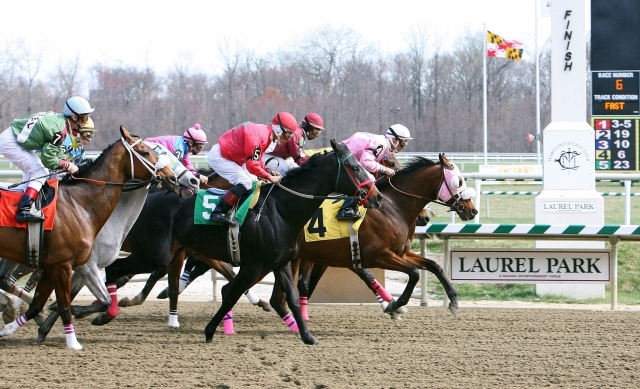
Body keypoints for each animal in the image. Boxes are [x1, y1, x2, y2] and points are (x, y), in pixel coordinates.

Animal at [0, 126, 176, 348]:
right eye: (145, 152)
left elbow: (40, 305)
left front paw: (10, 328)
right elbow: (69, 305)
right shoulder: (69, 266)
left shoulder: (55, 265)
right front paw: (73, 341)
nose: (172, 177)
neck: (80, 204)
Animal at [92, 139, 382, 342]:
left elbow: (287, 297)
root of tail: (149, 197)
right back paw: (104, 312)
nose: (377, 196)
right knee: (116, 268)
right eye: (355, 167)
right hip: (155, 254)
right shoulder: (254, 265)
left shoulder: (280, 263)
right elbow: (231, 293)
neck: (280, 210)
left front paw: (307, 335)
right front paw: (210, 330)